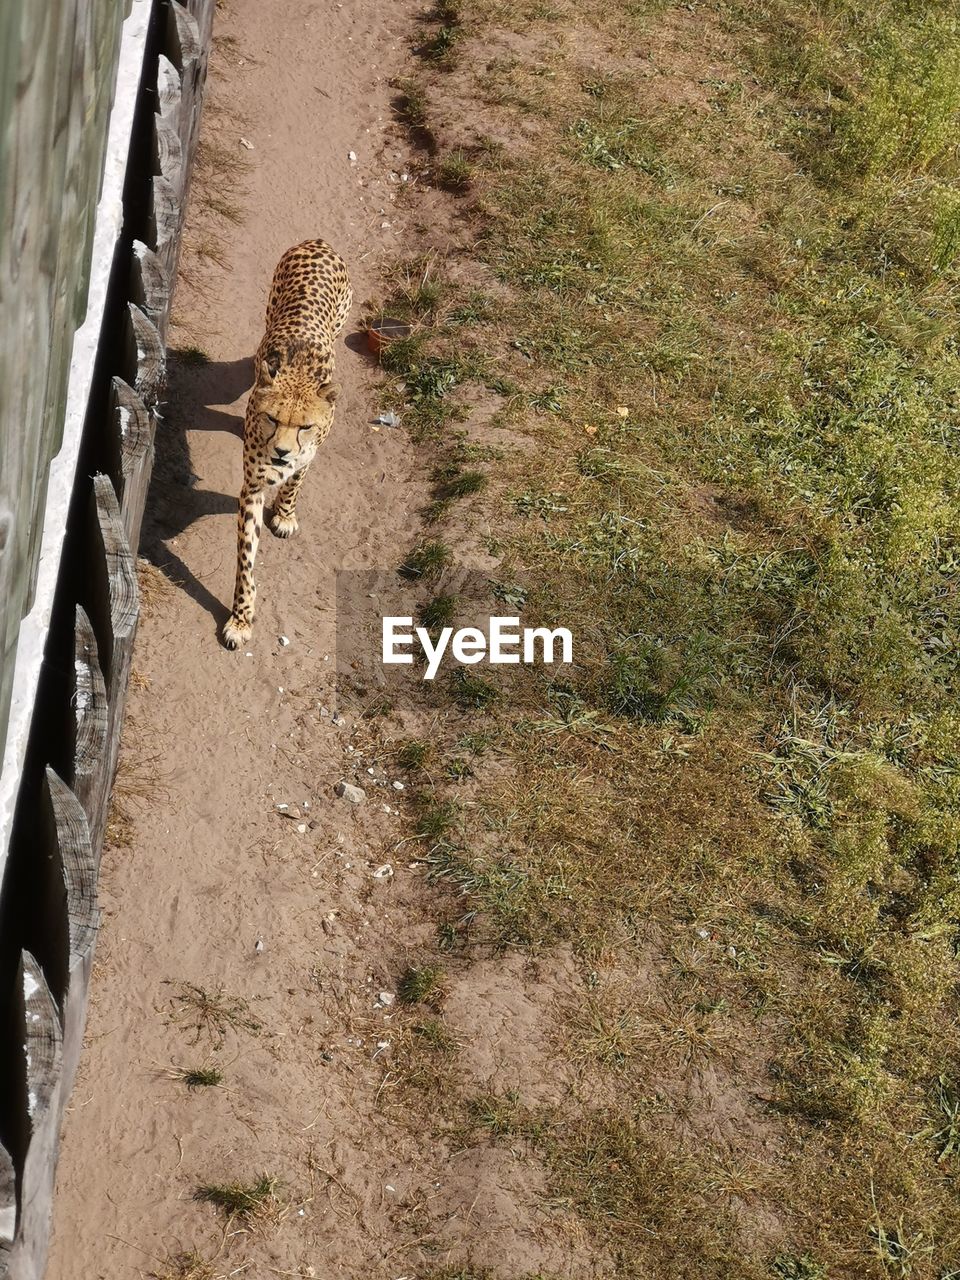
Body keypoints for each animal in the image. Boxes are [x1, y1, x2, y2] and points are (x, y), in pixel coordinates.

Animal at [222, 241, 353, 650]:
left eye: (305, 426)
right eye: (272, 419)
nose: (281, 452)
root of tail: (319, 242)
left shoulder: (309, 454)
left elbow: (296, 481)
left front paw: (284, 513)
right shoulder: (251, 487)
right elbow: (246, 560)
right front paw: (241, 618)